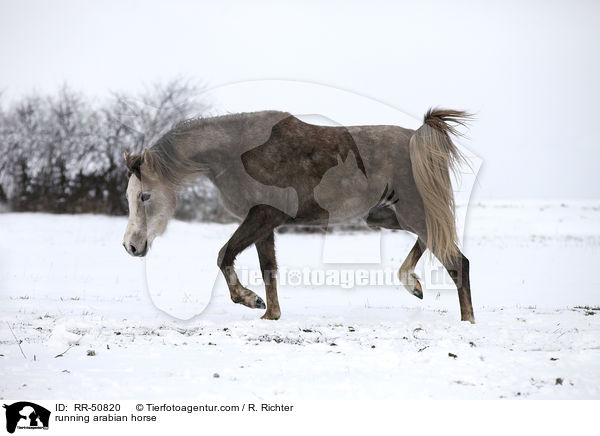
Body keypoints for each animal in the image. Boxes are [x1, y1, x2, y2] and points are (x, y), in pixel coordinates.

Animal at [122, 109, 476, 324]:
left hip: (411, 211)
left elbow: (224, 255)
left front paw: (249, 299)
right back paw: (413, 284)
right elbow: (267, 268)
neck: (238, 153)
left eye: (145, 196)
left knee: (457, 261)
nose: (131, 246)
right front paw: (270, 314)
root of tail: (417, 139)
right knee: (435, 243)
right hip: (385, 216)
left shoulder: (264, 216)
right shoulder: (264, 224)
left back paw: (466, 321)